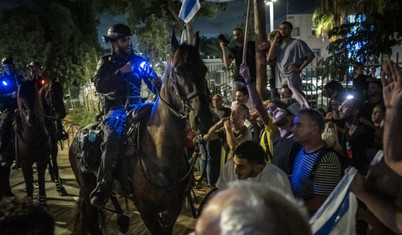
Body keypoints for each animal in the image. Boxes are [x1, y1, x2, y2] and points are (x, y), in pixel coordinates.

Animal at [69, 31, 214, 235]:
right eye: (178, 71)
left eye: (204, 70)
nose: (204, 118)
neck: (159, 151)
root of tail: (78, 135)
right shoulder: (146, 210)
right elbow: (100, 81)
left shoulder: (172, 208)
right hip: (86, 187)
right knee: (92, 220)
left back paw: (122, 219)